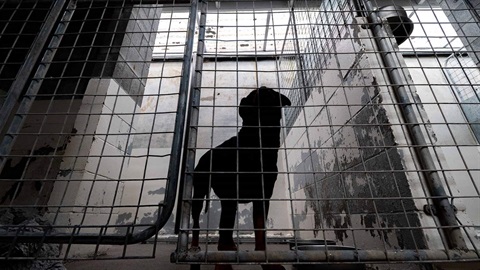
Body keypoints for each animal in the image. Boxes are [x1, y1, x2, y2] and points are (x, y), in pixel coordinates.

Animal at [190, 87, 288, 270]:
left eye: (272, 93)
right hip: (199, 194)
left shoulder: (262, 198)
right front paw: (223, 263)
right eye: (252, 95)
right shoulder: (229, 196)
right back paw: (194, 251)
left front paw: (266, 261)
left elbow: (260, 231)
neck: (257, 144)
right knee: (197, 225)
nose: (263, 88)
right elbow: (224, 229)